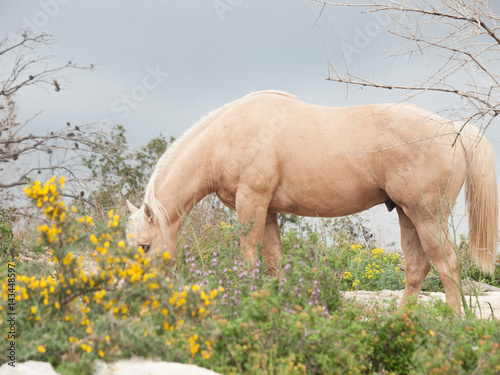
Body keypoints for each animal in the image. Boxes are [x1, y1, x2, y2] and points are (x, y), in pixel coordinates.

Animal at [128, 91, 496, 314]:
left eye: (144, 247)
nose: (135, 294)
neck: (228, 135)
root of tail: (454, 129)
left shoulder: (252, 203)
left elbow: (249, 258)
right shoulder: (268, 212)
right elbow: (274, 263)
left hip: (428, 216)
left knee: (447, 264)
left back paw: (454, 322)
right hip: (408, 215)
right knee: (418, 268)